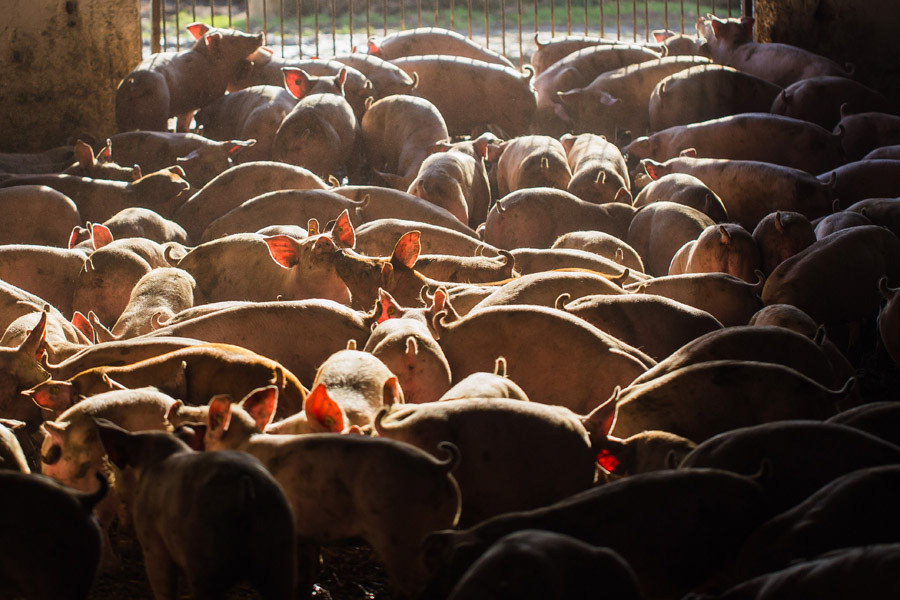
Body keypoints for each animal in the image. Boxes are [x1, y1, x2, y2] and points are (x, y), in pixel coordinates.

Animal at [115, 22, 265, 132]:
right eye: (234, 40)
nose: (260, 34)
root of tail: (135, 83)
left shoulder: (187, 107)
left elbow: (183, 123)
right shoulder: (213, 93)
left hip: (122, 115)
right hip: (157, 109)